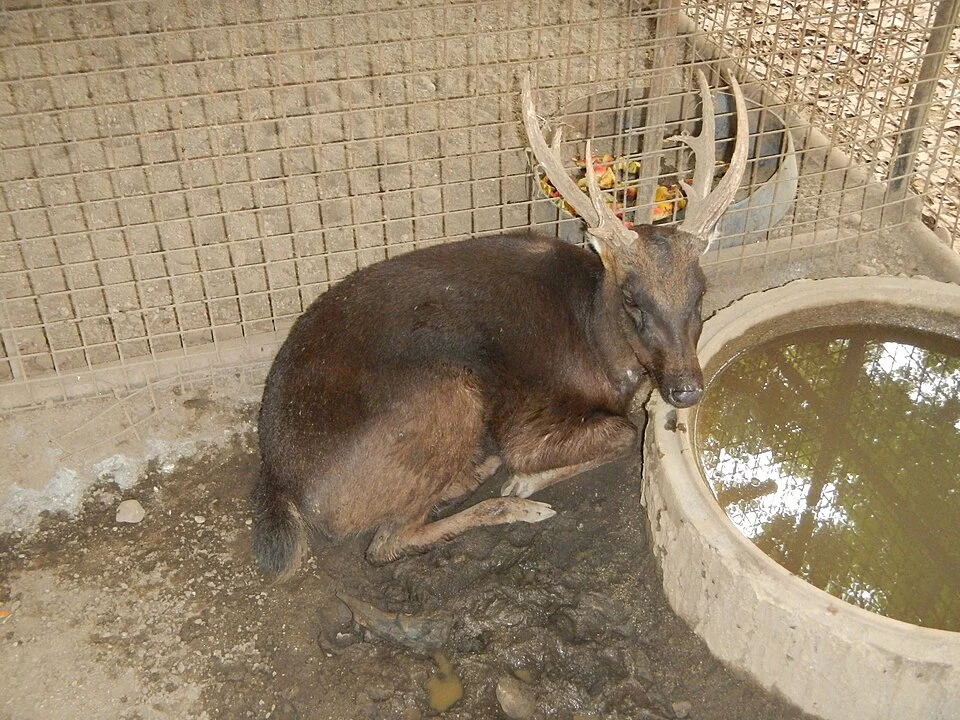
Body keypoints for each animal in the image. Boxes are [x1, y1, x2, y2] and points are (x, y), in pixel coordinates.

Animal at [252, 70, 748, 576]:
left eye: (701, 292)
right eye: (632, 298)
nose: (686, 389)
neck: (603, 352)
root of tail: (280, 483)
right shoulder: (530, 420)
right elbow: (621, 435)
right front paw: (524, 483)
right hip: (448, 394)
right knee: (385, 543)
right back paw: (507, 500)